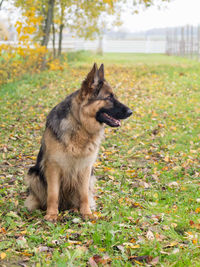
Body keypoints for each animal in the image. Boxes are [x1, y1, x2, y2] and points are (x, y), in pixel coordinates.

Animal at [25, 63, 132, 222]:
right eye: (109, 97)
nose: (131, 112)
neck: (80, 124)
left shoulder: (86, 168)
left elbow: (84, 195)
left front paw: (86, 213)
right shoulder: (53, 167)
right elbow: (53, 195)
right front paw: (51, 214)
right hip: (33, 174)